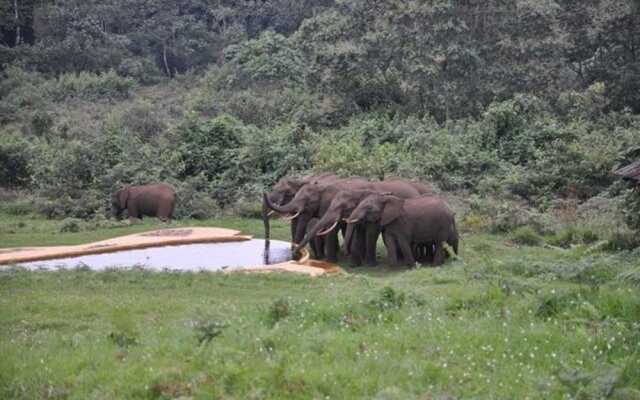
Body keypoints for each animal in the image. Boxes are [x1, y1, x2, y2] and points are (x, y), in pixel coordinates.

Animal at [292, 180, 428, 268]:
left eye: (344, 207)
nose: (294, 257)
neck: (357, 192)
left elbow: (370, 233)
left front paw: (370, 265)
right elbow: (358, 234)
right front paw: (354, 264)